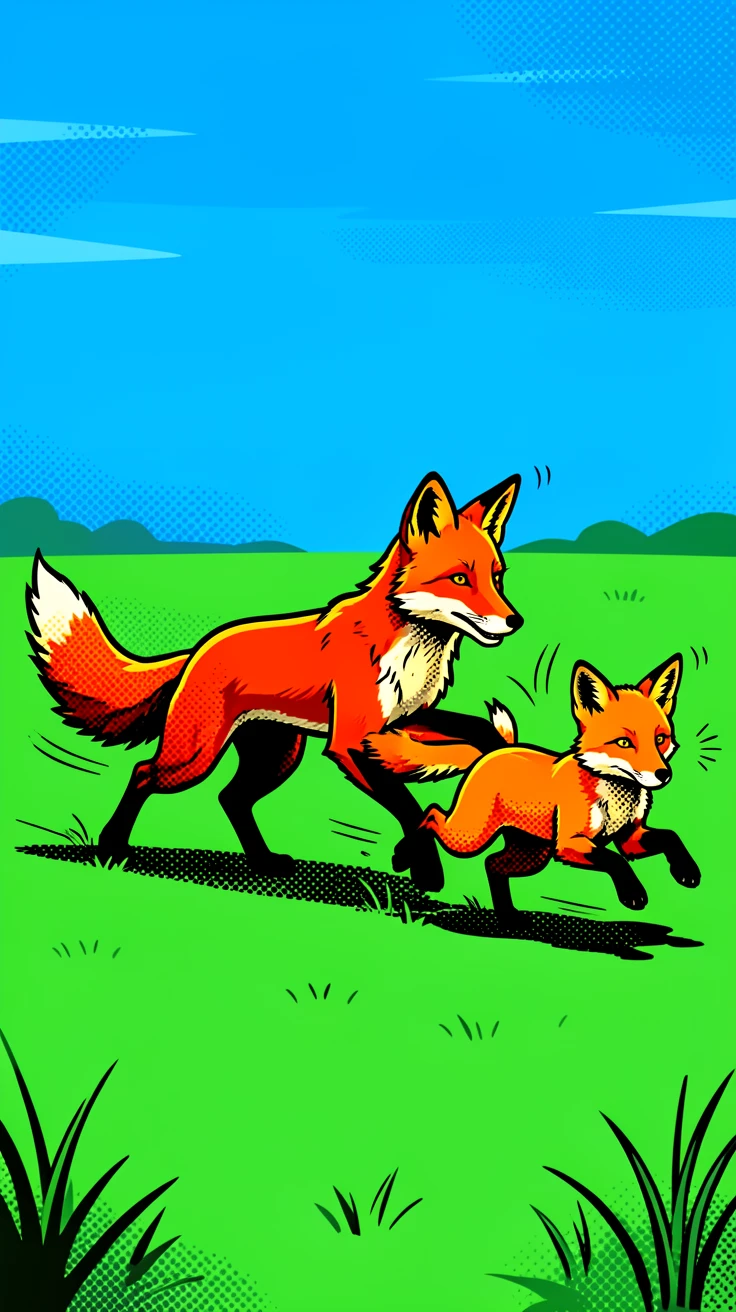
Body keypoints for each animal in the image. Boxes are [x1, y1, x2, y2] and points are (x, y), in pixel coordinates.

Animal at [25, 470, 523, 892]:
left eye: (497, 578)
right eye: (459, 579)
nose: (515, 621)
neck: (413, 648)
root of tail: (198, 649)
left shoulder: (402, 721)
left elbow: (474, 733)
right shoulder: (351, 739)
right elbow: (405, 802)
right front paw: (424, 869)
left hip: (278, 758)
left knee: (232, 798)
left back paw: (263, 862)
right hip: (193, 758)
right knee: (144, 773)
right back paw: (111, 846)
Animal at [393, 654, 701, 913]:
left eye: (660, 739)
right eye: (624, 743)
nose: (663, 774)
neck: (616, 796)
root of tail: (497, 749)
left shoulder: (631, 838)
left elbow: (670, 837)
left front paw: (687, 871)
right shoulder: (568, 844)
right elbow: (615, 860)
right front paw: (633, 893)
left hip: (532, 855)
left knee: (491, 864)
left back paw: (508, 917)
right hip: (469, 837)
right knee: (432, 814)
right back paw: (403, 854)